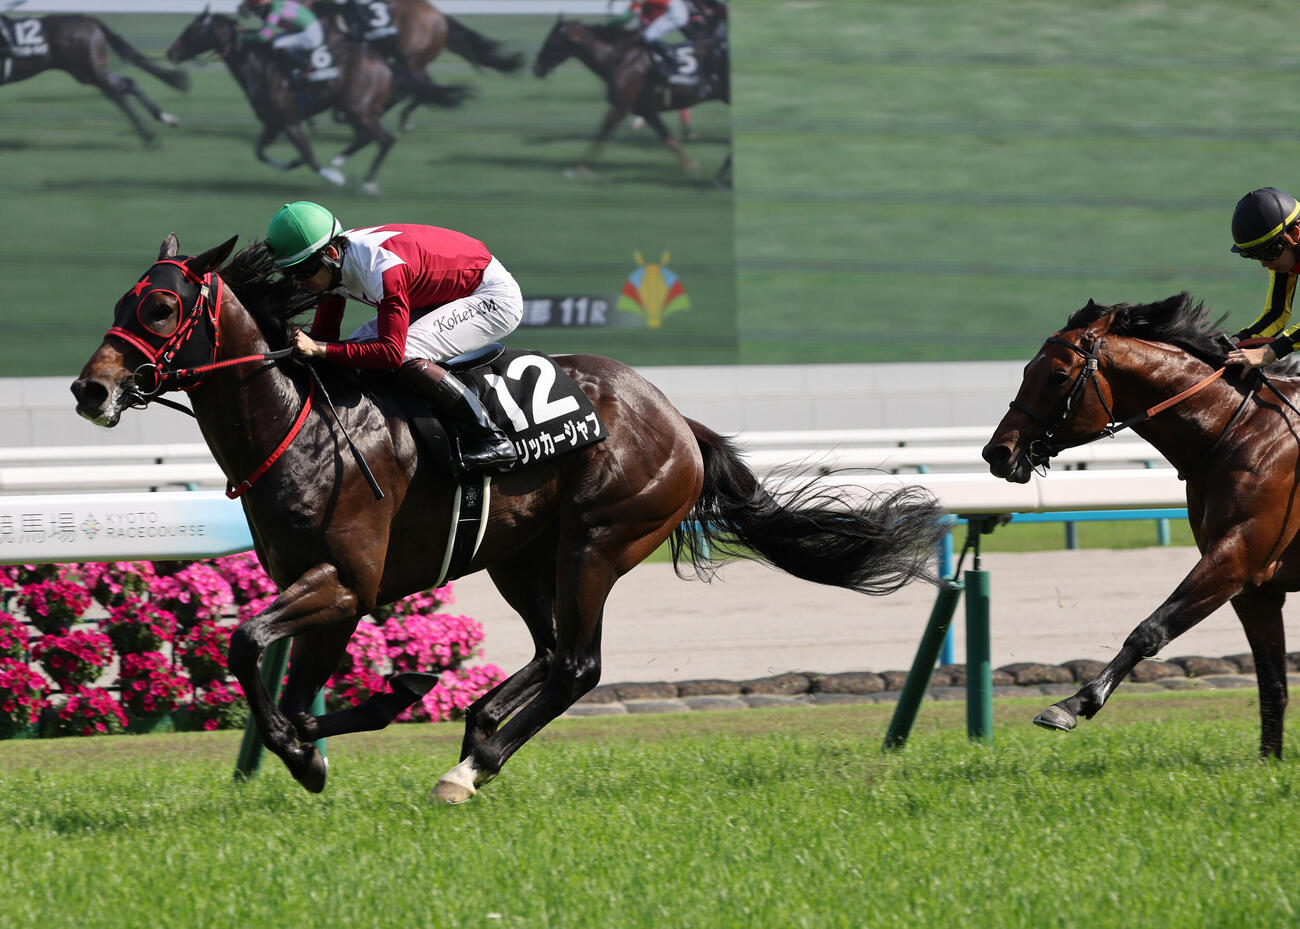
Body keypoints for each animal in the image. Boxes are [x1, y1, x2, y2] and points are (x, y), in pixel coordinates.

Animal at [0, 13, 189, 146]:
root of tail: (90, 20)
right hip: (92, 70)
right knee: (128, 84)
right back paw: (166, 119)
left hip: (89, 71)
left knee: (118, 94)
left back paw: (150, 137)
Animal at [71, 234, 948, 804]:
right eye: (119, 301)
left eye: (161, 307)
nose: (91, 389)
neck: (299, 423)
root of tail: (676, 419)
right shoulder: (326, 590)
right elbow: (291, 685)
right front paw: (364, 714)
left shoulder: (344, 583)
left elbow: (249, 645)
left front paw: (312, 748)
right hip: (520, 556)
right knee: (553, 650)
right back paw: (477, 724)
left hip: (598, 540)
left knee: (578, 665)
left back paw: (473, 763)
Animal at [165, 10, 467, 194]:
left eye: (192, 31)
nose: (171, 53)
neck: (258, 64)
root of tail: (386, 64)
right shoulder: (273, 124)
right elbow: (260, 152)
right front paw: (292, 164)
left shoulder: (290, 121)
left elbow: (309, 156)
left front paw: (334, 179)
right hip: (354, 110)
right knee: (367, 138)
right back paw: (340, 160)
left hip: (358, 109)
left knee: (384, 139)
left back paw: (366, 183)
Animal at [532, 18, 729, 175]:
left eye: (551, 41)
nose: (536, 67)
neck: (620, 57)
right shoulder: (645, 109)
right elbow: (668, 138)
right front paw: (691, 166)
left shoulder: (621, 106)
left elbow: (602, 135)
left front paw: (580, 167)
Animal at [981, 292, 1300, 759]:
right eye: (1026, 371)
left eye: (1057, 377)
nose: (998, 453)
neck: (1238, 429)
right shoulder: (1254, 586)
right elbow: (1272, 682)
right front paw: (1268, 762)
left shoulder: (1237, 557)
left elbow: (1149, 630)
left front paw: (1073, 703)